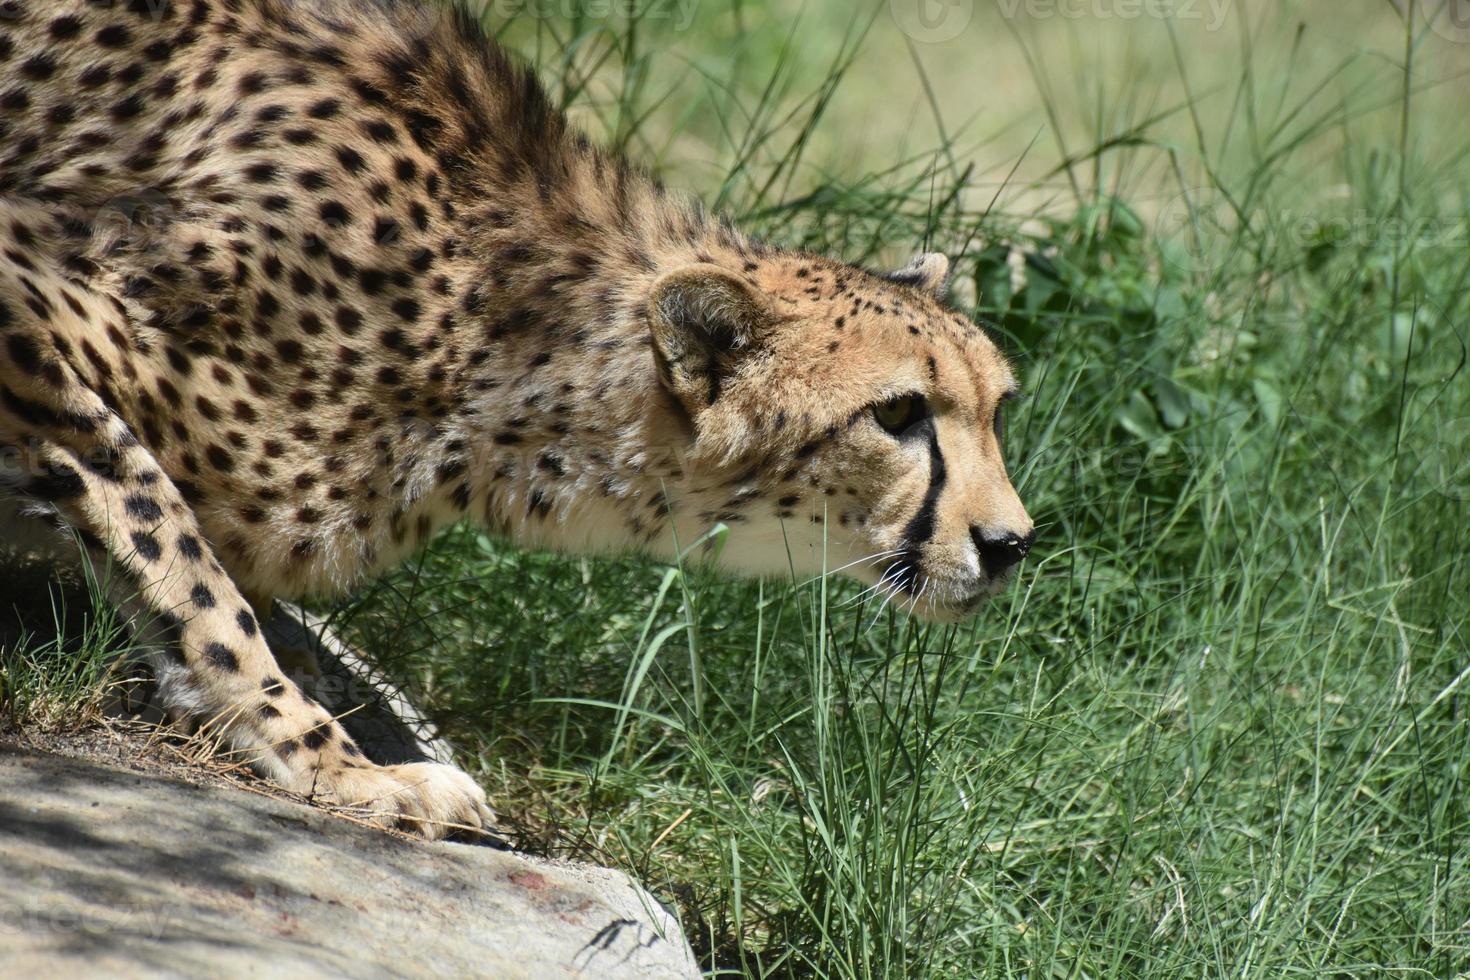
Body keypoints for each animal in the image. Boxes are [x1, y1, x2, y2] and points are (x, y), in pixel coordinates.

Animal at [0, 1, 1034, 846]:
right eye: (897, 412)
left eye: (996, 405)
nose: (1013, 543)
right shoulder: (29, 296)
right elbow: (176, 551)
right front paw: (334, 762)